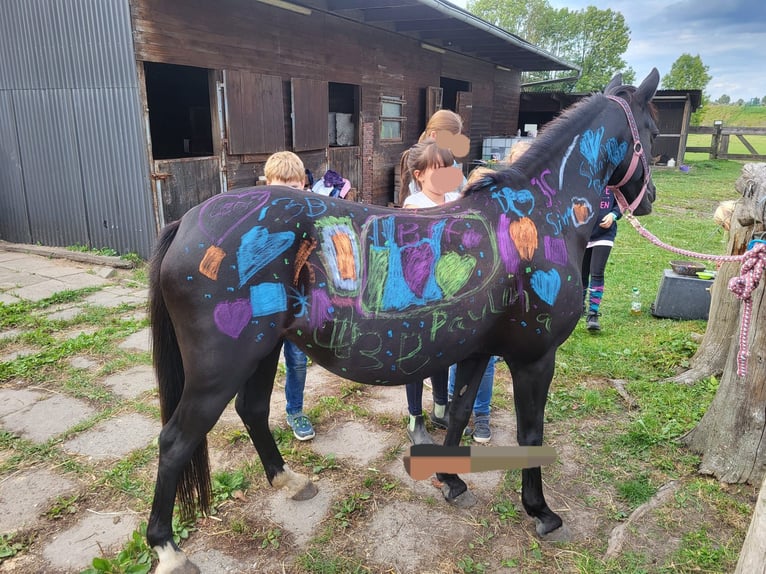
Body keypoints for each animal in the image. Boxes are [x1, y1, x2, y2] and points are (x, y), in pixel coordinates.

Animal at [148, 70, 660, 572]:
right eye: (653, 132)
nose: (650, 198)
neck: (534, 216)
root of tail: (186, 222)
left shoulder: (478, 351)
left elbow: (458, 410)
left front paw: (451, 480)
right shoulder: (535, 359)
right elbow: (531, 433)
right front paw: (541, 511)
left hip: (263, 351)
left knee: (252, 411)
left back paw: (290, 481)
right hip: (220, 368)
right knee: (175, 441)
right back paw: (168, 550)